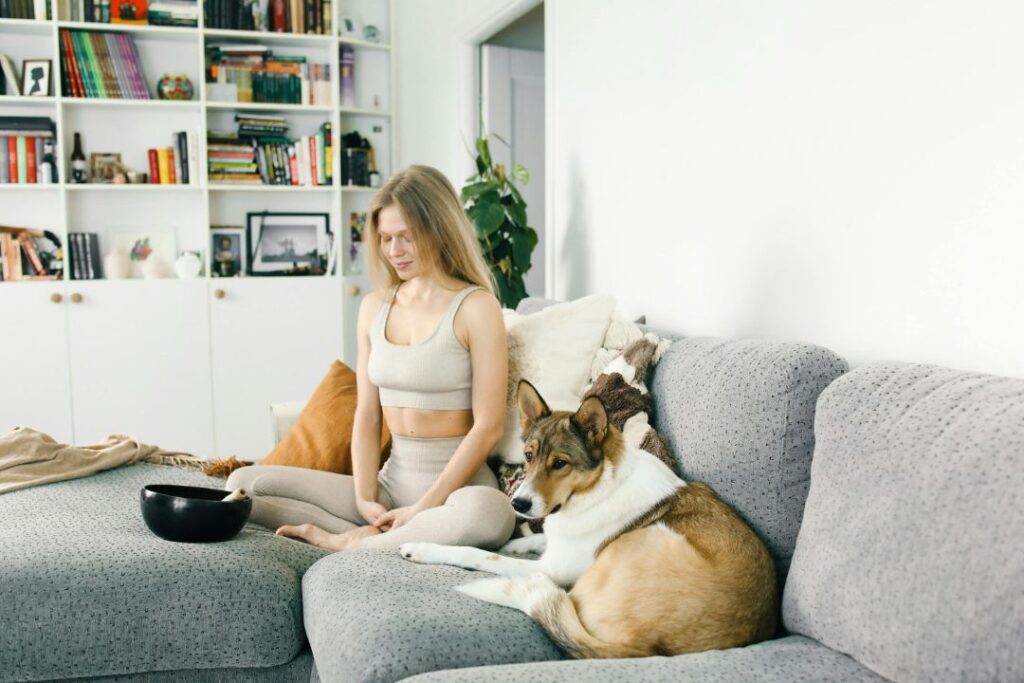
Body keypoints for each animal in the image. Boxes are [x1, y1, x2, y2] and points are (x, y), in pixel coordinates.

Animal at [399, 382, 774, 659]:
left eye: (560, 463)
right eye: (529, 456)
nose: (517, 504)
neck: (596, 487)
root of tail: (645, 648)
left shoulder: (552, 567)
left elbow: (479, 554)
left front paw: (422, 548)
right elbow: (535, 537)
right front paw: (515, 541)